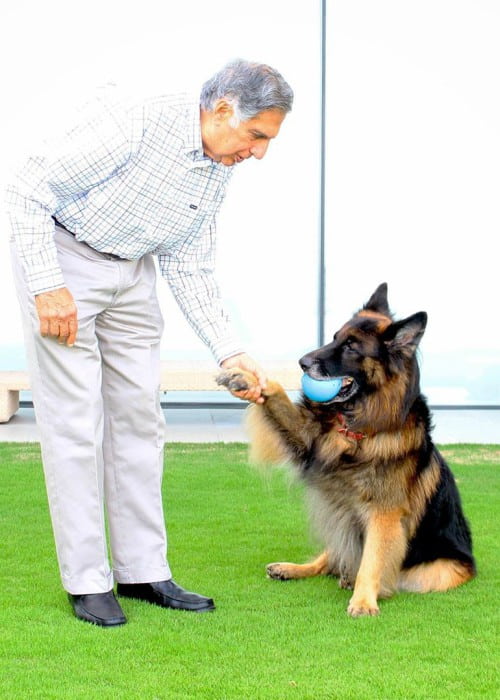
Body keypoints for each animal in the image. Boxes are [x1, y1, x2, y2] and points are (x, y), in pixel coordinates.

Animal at [217, 282, 474, 616]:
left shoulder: (384, 513)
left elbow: (373, 559)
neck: (358, 426)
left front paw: (364, 600)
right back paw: (293, 568)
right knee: (328, 558)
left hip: (438, 571)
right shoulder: (306, 439)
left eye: (352, 347)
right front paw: (246, 377)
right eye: (335, 337)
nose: (303, 362)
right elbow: (276, 394)